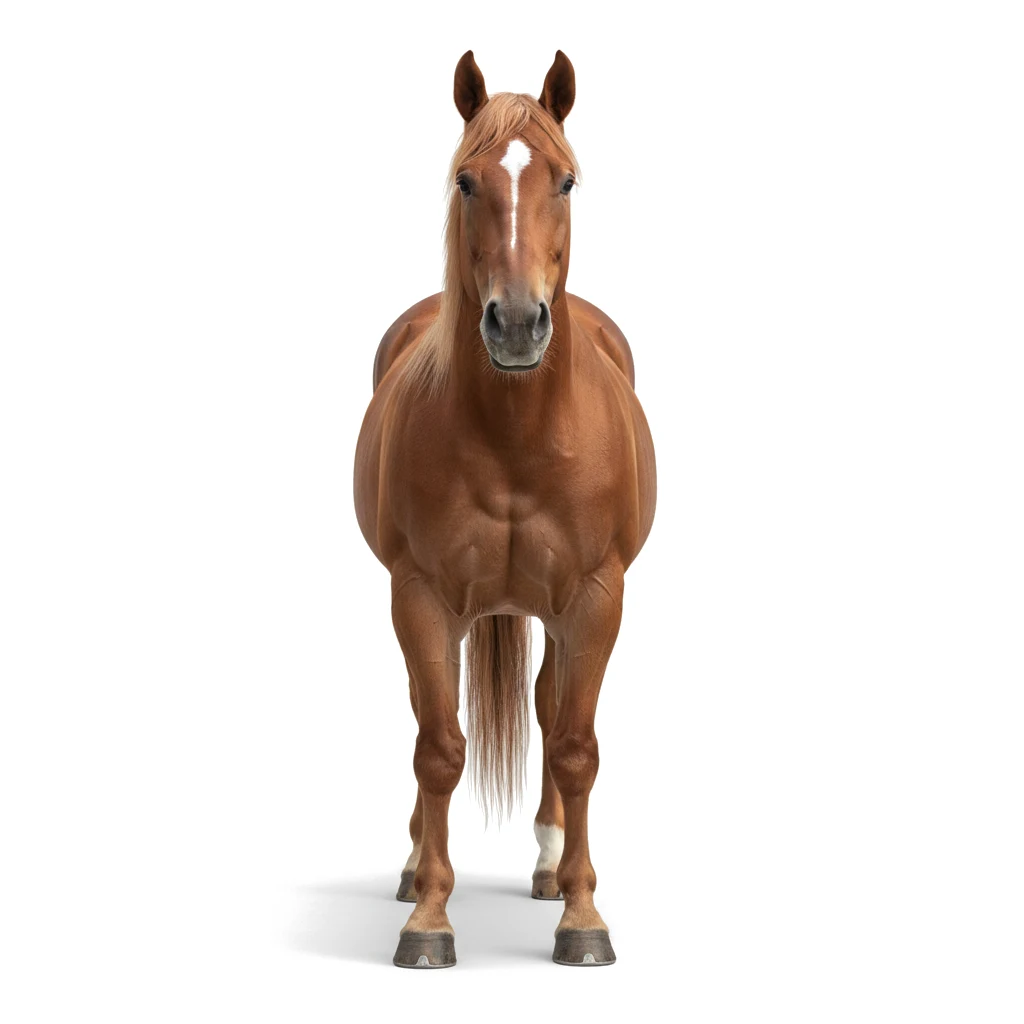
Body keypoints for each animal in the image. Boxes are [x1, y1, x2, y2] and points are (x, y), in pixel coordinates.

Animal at [354, 50, 656, 968]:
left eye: (565, 180)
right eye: (465, 179)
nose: (518, 324)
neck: (516, 435)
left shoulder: (596, 598)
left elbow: (575, 747)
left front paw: (584, 918)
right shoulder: (419, 597)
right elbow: (438, 747)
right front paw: (428, 918)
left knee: (552, 710)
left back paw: (553, 868)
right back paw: (416, 867)